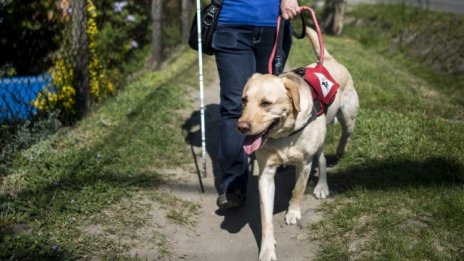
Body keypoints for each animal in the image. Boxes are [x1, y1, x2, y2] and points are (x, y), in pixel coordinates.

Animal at [237, 27, 360, 258]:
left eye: (266, 103)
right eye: (244, 100)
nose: (241, 127)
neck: (284, 136)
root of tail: (326, 60)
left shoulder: (304, 163)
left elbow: (298, 190)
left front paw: (293, 212)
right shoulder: (266, 174)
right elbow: (265, 218)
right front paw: (267, 249)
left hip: (346, 119)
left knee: (340, 140)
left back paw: (327, 175)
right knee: (320, 157)